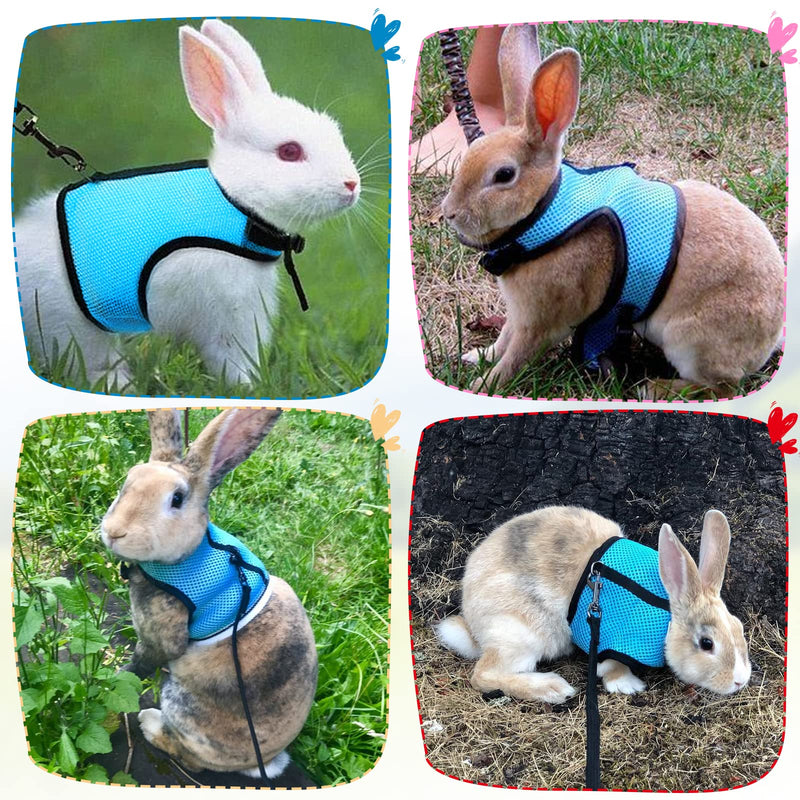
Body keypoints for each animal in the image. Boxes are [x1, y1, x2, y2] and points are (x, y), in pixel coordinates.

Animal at [15, 18, 360, 390]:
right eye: (290, 152)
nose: (352, 184)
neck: (235, 203)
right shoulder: (229, 313)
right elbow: (232, 358)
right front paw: (248, 388)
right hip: (72, 319)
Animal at [100, 407, 317, 779]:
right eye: (127, 482)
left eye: (176, 499)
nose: (115, 532)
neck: (186, 558)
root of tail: (261, 761)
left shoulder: (161, 637)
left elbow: (139, 665)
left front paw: (113, 681)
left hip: (182, 705)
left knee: (192, 760)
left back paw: (149, 722)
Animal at [436, 506, 751, 704]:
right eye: (707, 644)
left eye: (739, 629)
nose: (740, 681)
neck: (668, 613)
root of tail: (473, 625)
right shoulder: (611, 637)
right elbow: (610, 666)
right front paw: (627, 684)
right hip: (520, 632)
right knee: (484, 675)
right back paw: (553, 688)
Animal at [440, 25, 784, 395]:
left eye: (504, 175)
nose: (449, 212)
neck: (544, 213)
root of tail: (770, 335)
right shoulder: (519, 315)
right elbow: (503, 340)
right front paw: (476, 356)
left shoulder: (541, 322)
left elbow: (516, 357)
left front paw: (482, 386)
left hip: (691, 341)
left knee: (720, 387)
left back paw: (654, 388)